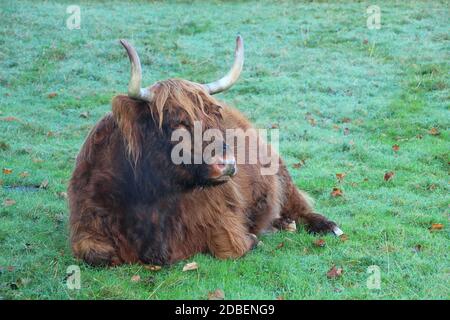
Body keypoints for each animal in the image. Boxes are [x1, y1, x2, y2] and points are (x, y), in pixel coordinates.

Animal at [68, 35, 342, 266]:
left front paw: (254, 238)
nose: (228, 164)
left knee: (299, 205)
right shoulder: (85, 225)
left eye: (214, 116)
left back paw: (324, 226)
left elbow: (232, 246)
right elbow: (97, 255)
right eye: (176, 123)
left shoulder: (221, 216)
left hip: (280, 172)